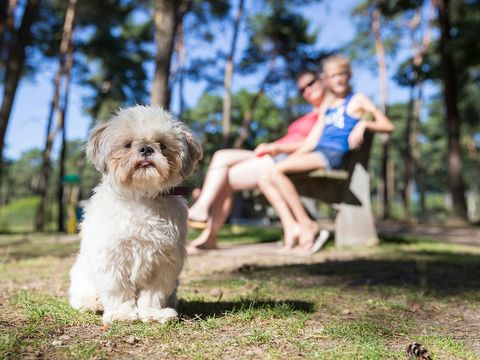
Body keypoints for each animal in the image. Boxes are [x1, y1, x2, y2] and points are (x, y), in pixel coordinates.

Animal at [68, 105, 202, 324]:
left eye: (162, 145)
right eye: (127, 145)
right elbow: (118, 290)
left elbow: (153, 294)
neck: (141, 197)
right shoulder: (112, 257)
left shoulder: (163, 262)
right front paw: (121, 314)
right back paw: (93, 302)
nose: (146, 148)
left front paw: (153, 313)